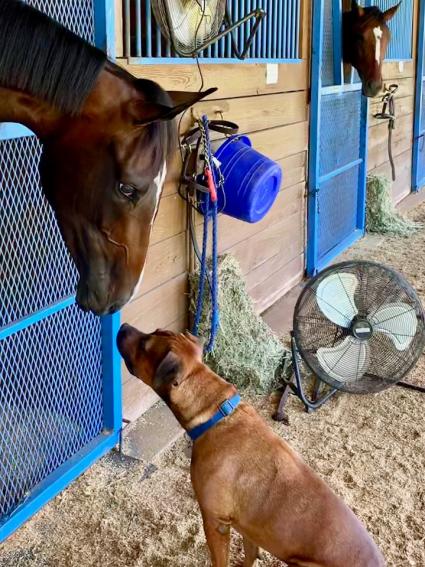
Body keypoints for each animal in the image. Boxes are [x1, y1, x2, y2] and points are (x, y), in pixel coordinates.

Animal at [117, 324, 384, 567]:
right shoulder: (248, 527)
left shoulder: (215, 522)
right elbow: (250, 554)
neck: (216, 413)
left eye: (145, 345)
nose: (123, 325)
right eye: (154, 330)